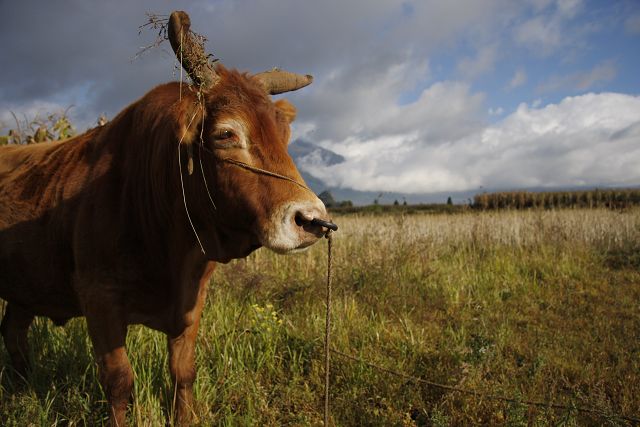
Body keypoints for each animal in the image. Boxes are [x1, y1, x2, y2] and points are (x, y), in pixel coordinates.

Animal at [0, 10, 330, 427]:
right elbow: (119, 381)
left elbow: (183, 372)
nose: (312, 220)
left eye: (284, 134)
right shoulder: (98, 297)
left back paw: (23, 386)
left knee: (13, 332)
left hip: (24, 287)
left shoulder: (192, 300)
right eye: (226, 134)